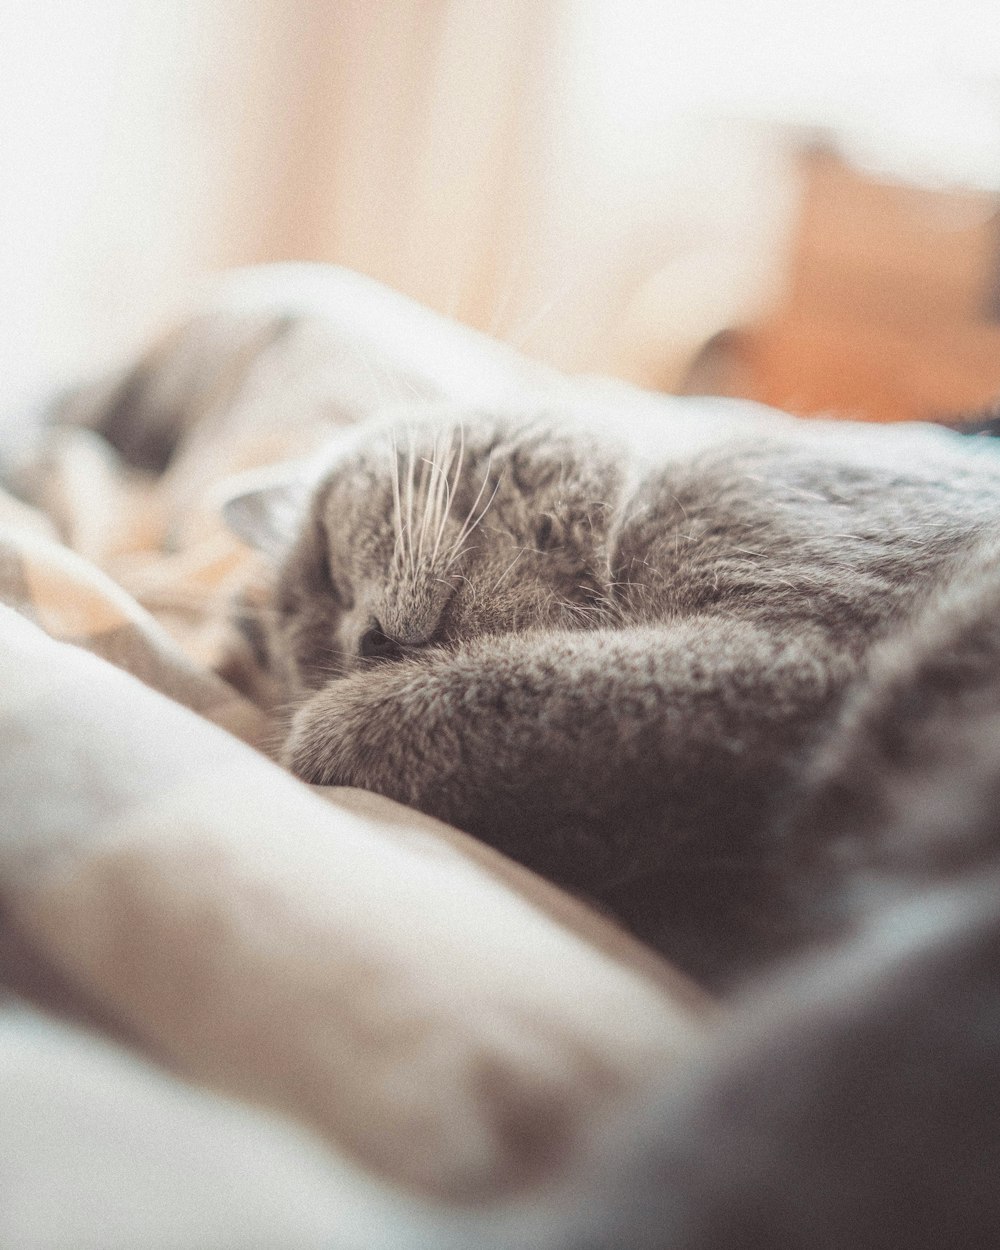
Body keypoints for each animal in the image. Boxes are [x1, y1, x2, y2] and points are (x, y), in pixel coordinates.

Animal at [225, 405, 1000, 990]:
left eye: (326, 570)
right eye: (315, 658)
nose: (364, 642)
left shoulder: (795, 645)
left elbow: (470, 695)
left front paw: (315, 736)